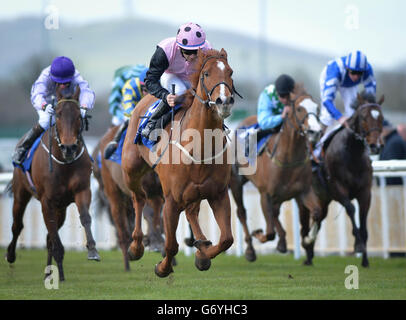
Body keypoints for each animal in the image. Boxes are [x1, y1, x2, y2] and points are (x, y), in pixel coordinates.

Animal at [6, 85, 99, 280]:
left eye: (79, 115)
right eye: (57, 114)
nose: (69, 147)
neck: (64, 162)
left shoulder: (82, 191)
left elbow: (85, 217)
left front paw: (92, 250)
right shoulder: (46, 201)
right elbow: (53, 235)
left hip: (61, 208)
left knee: (49, 236)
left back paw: (51, 272)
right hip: (21, 194)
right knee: (17, 225)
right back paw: (10, 255)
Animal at [93, 126, 165, 272]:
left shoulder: (160, 191)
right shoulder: (147, 191)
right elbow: (150, 215)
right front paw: (153, 243)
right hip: (114, 195)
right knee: (122, 230)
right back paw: (127, 263)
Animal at [121, 48, 235, 278]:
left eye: (230, 72)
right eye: (206, 74)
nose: (224, 101)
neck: (199, 146)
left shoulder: (218, 193)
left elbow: (227, 239)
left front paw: (203, 254)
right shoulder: (171, 200)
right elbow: (171, 245)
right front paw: (162, 268)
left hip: (194, 193)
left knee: (191, 212)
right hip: (131, 170)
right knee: (139, 198)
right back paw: (135, 246)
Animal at [230, 86, 322, 262]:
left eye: (317, 107)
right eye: (299, 109)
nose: (315, 131)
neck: (288, 157)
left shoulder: (303, 191)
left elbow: (317, 213)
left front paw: (307, 240)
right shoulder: (265, 193)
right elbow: (269, 232)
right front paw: (258, 234)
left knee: (275, 212)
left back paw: (282, 242)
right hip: (236, 182)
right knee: (242, 213)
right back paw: (250, 250)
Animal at [300, 93, 386, 268]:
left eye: (381, 118)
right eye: (364, 117)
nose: (375, 146)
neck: (353, 155)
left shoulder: (365, 192)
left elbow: (364, 222)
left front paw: (365, 259)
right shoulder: (338, 189)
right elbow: (351, 209)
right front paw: (358, 245)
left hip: (323, 200)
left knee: (319, 218)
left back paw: (310, 254)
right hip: (304, 197)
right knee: (306, 223)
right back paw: (307, 250)